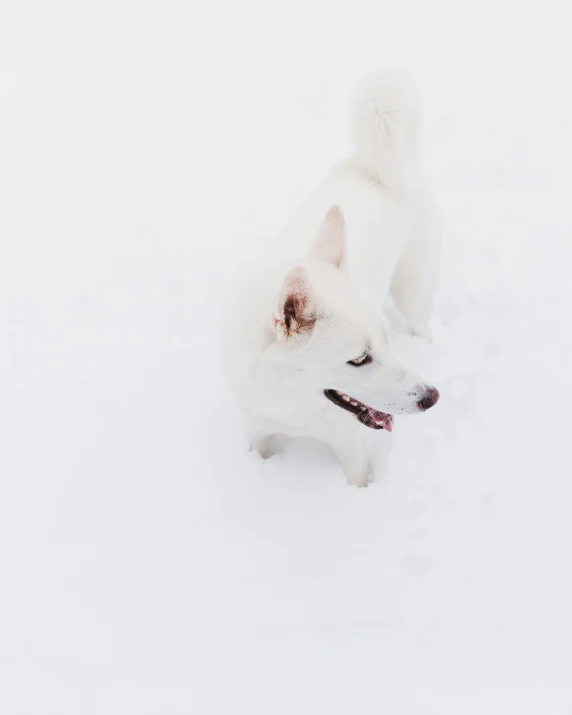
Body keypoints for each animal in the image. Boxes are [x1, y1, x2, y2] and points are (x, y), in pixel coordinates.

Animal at [221, 70, 440, 486]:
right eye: (359, 359)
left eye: (385, 340)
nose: (431, 397)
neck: (292, 402)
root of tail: (372, 165)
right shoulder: (258, 431)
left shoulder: (351, 446)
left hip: (411, 289)